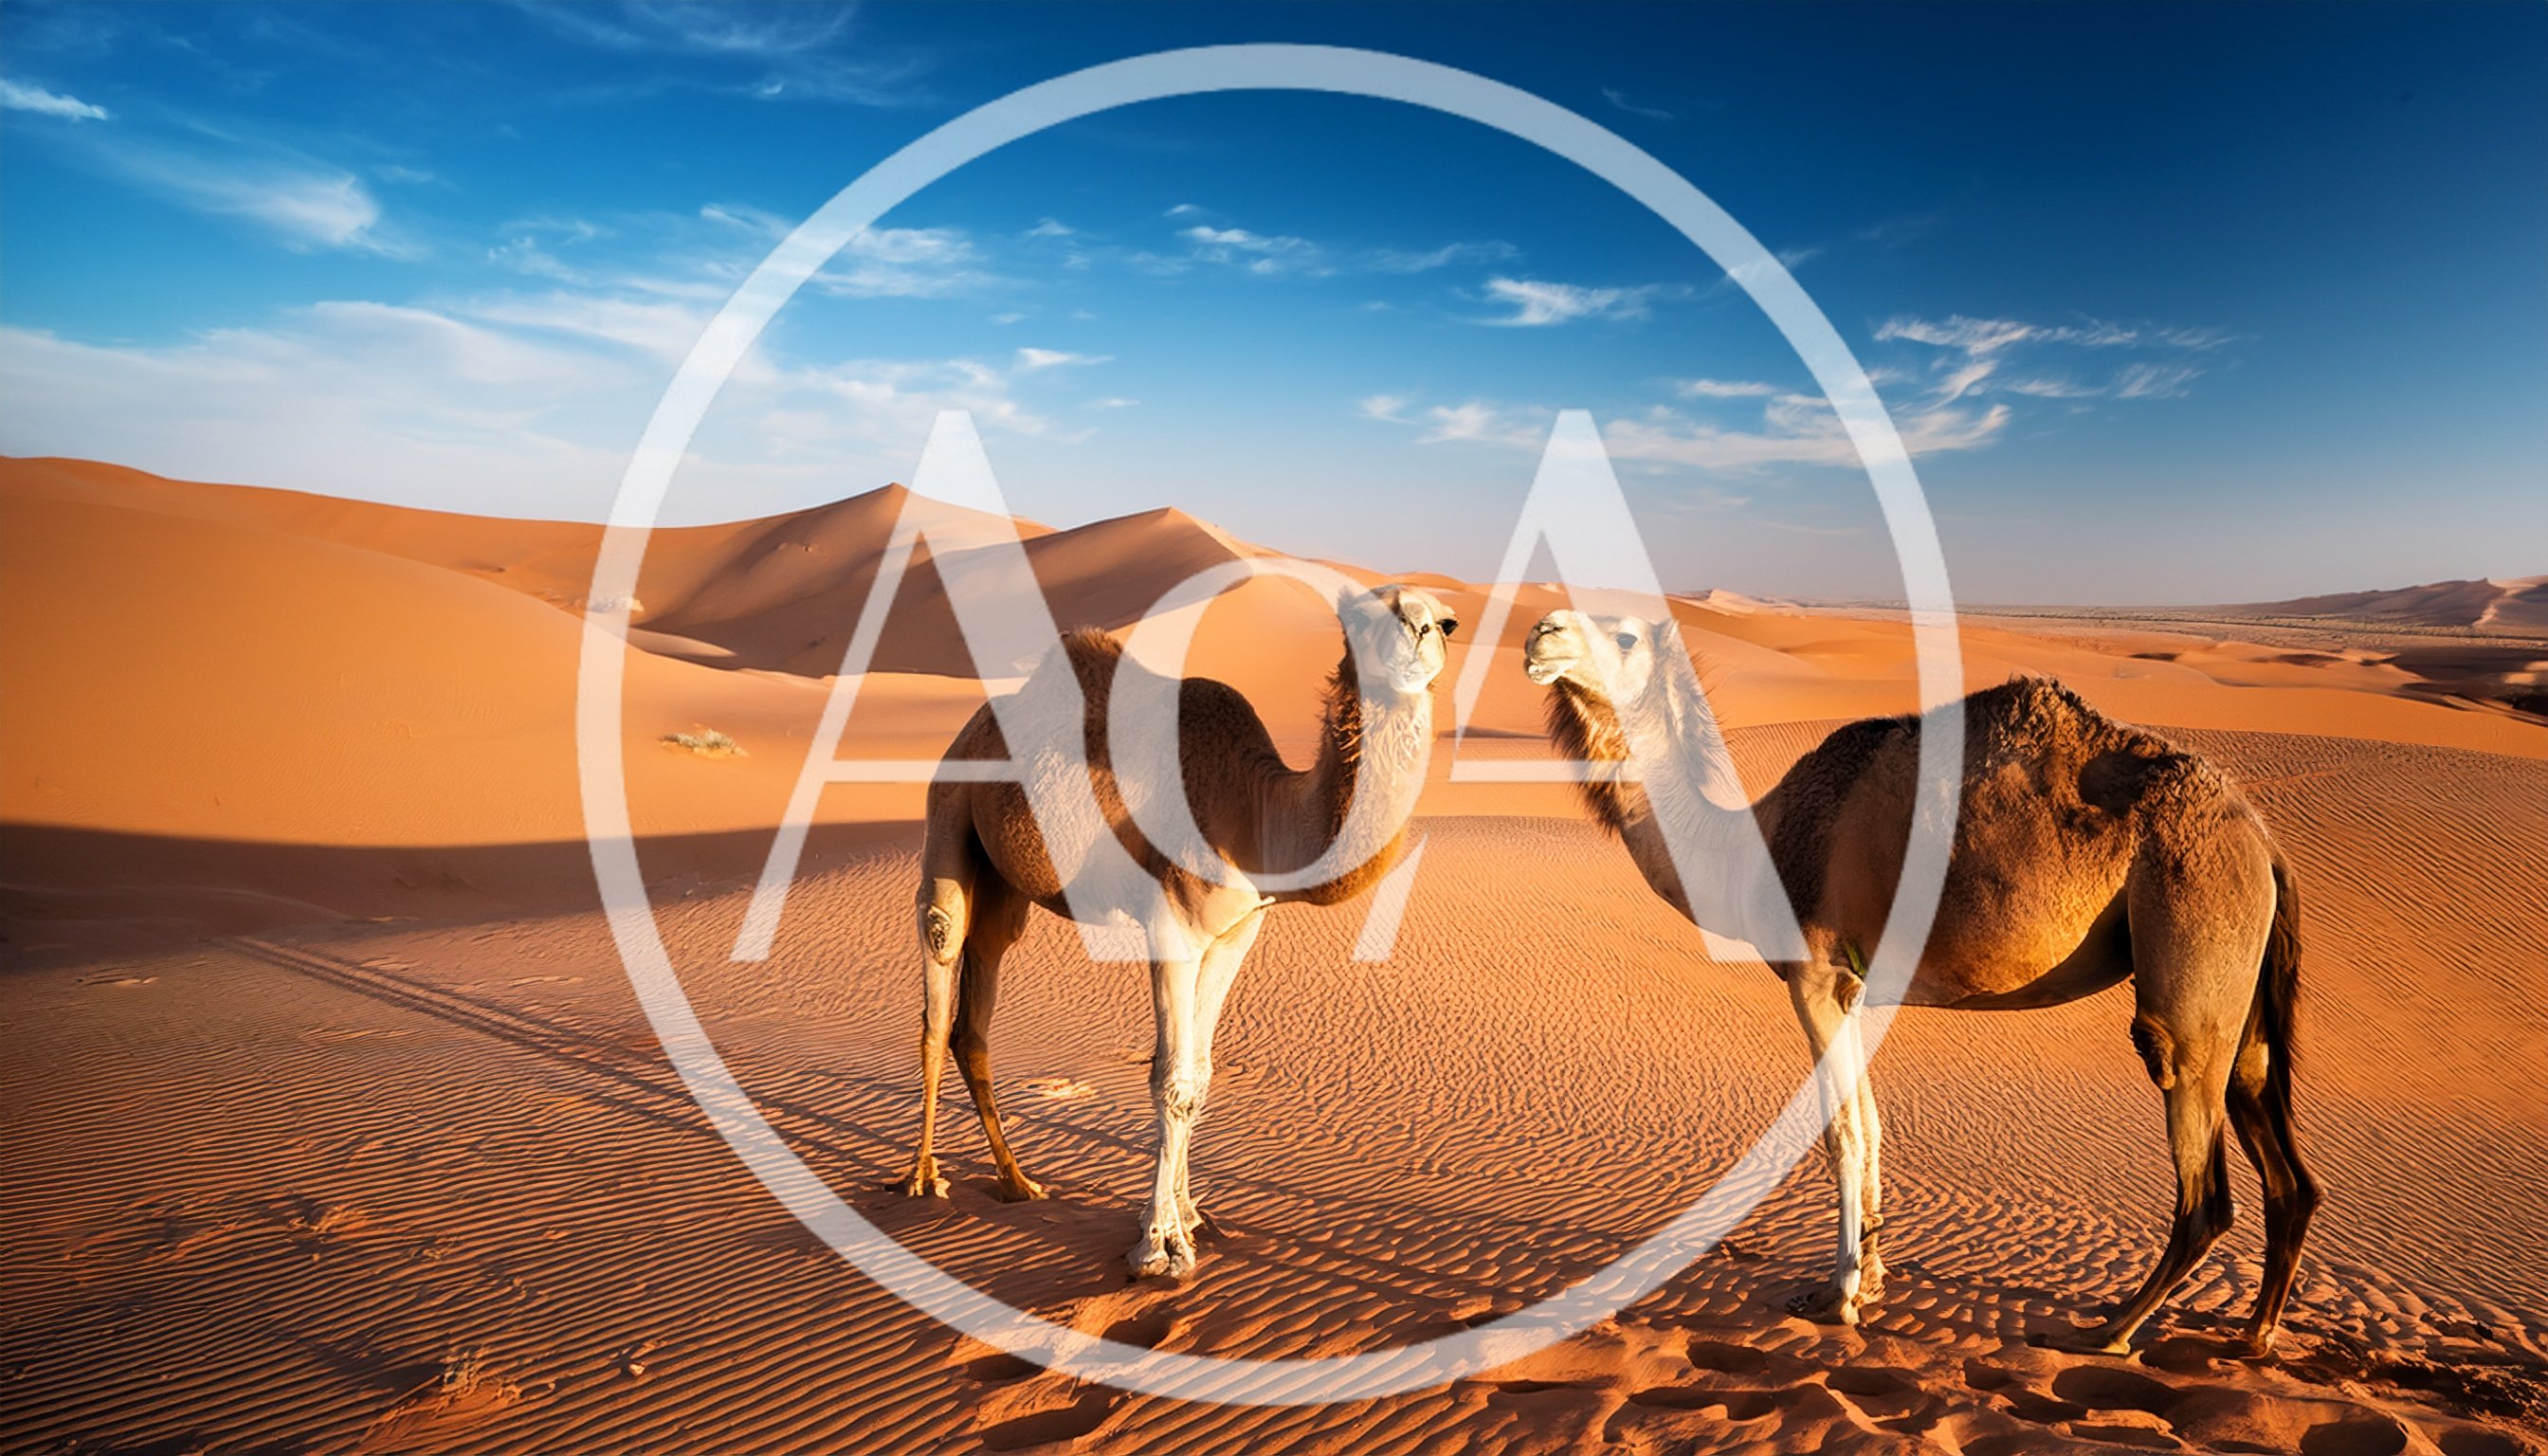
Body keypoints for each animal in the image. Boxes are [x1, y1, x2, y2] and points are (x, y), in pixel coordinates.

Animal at [904, 584, 1457, 1279]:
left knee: (976, 1005)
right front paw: (1158, 1247)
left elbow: (1201, 1075)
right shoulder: (1171, 929)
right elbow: (1169, 1081)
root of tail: (972, 728)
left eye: (1447, 622)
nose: (1417, 635)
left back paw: (1016, 1182)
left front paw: (1190, 1217)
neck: (1254, 812)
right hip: (948, 805)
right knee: (939, 965)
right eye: (1357, 616)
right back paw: (924, 1177)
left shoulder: (1235, 934)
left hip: (1005, 880)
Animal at [1521, 608, 2319, 1354]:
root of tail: (2264, 840)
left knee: (2203, 1181)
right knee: (2285, 1164)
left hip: (2191, 943)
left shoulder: (1815, 974)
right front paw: (1865, 1277)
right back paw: (2251, 1334)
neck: (1752, 849)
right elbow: (1872, 1124)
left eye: (1625, 635)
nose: (1540, 632)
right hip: (2244, 1000)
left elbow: (1840, 1132)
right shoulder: (1858, 987)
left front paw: (1843, 1296)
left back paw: (2112, 1330)